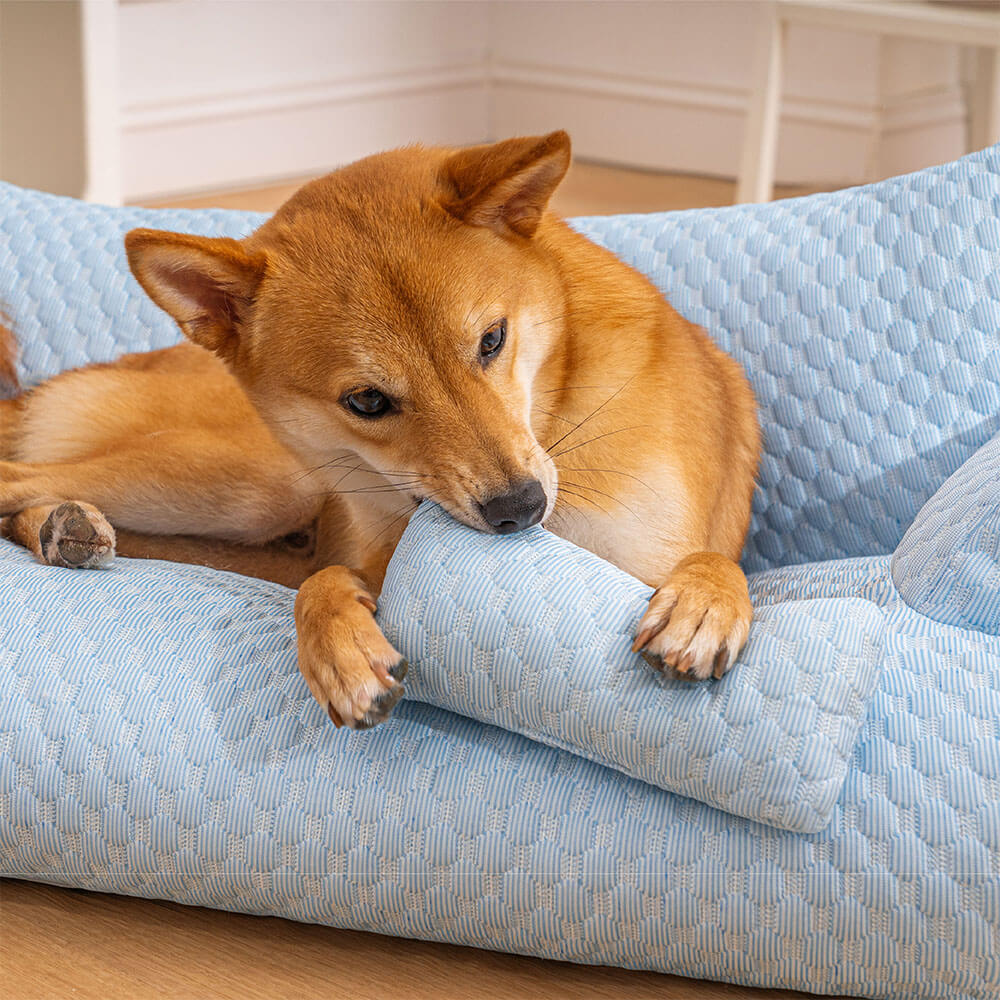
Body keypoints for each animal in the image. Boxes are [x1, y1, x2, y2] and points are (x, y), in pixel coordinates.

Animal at [0, 131, 756, 728]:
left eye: (492, 340)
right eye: (366, 400)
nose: (518, 509)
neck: (557, 406)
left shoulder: (645, 553)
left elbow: (715, 561)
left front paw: (706, 600)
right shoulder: (354, 555)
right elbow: (322, 583)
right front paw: (340, 649)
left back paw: (64, 527)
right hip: (254, 486)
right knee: (19, 477)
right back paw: (61, 522)